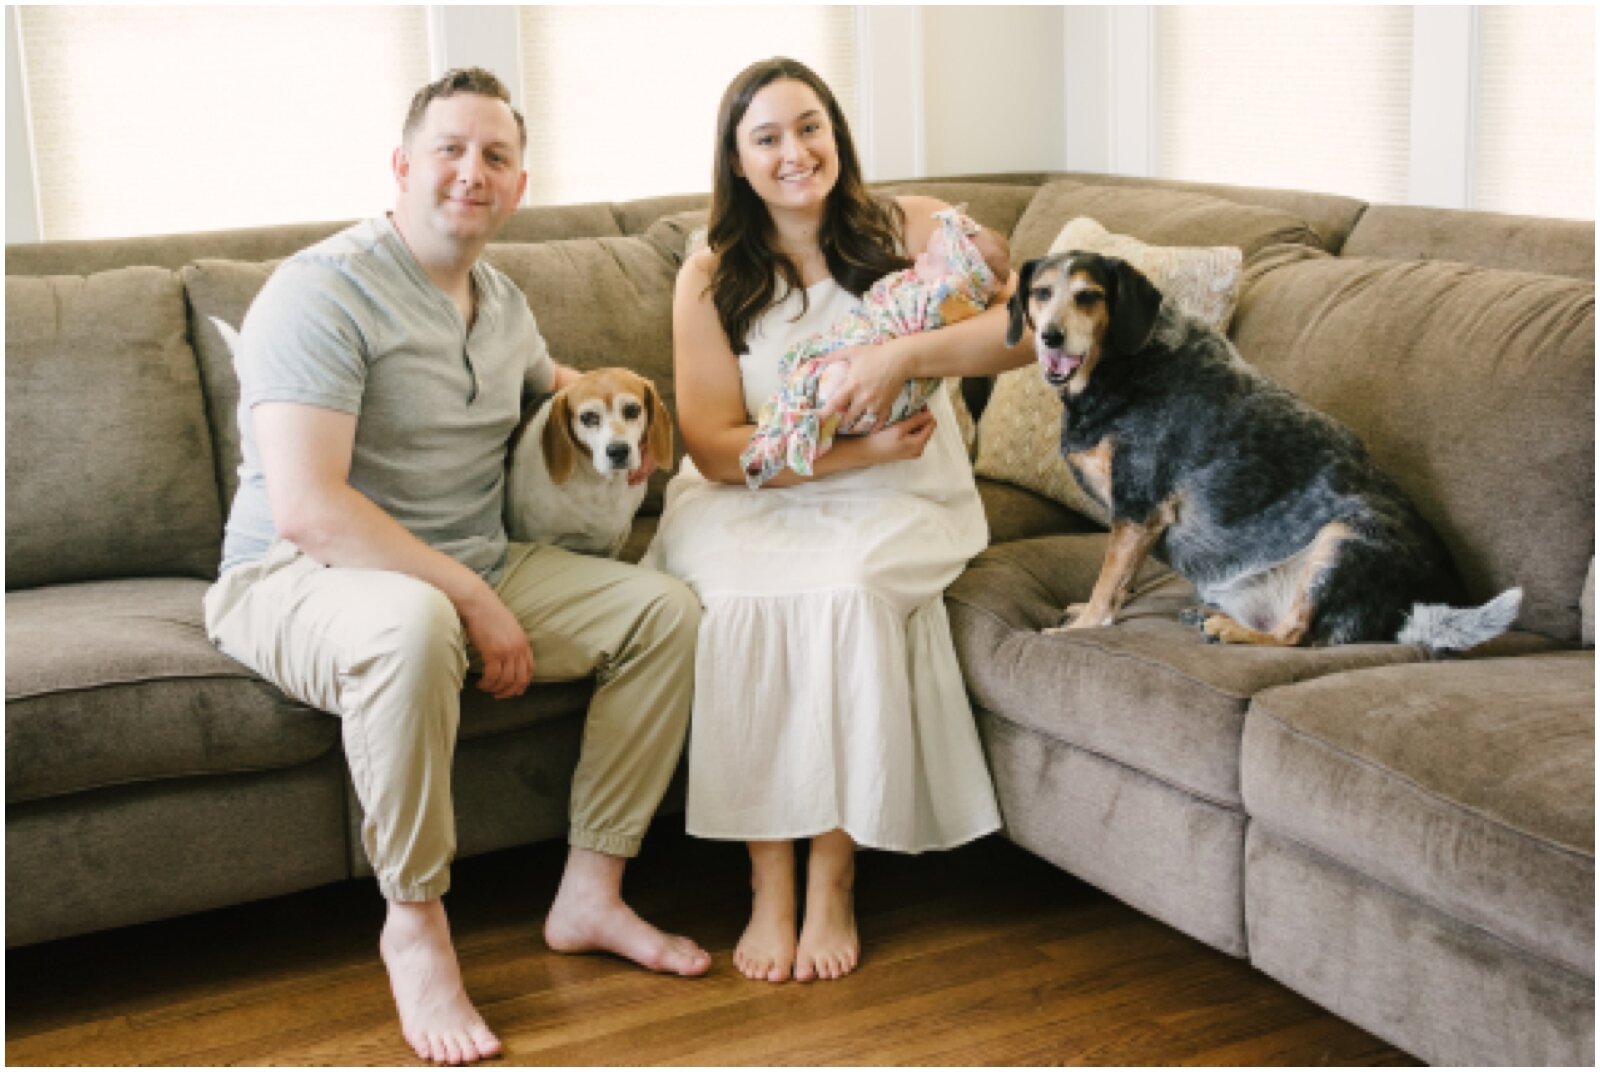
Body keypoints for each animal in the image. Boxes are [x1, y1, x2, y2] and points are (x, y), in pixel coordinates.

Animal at [1004, 254, 1516, 656]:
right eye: (1041, 293)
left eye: (1088, 296)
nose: (1050, 336)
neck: (1122, 364)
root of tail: (1420, 612)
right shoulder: (1135, 524)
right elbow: (1120, 577)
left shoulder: (1138, 508)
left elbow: (1108, 580)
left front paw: (1083, 624)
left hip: (1342, 539)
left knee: (1296, 636)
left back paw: (1230, 631)